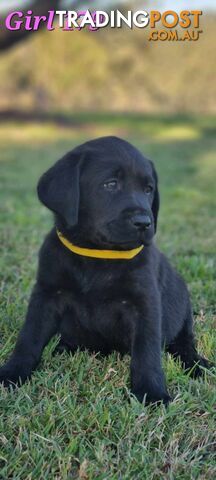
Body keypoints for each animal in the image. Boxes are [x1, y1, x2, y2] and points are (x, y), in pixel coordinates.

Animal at [0, 136, 213, 404]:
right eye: (110, 184)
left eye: (148, 189)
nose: (145, 222)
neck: (98, 254)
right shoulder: (47, 295)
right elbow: (29, 338)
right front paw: (12, 373)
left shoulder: (145, 304)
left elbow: (146, 351)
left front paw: (152, 392)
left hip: (183, 309)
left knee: (184, 343)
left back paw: (198, 364)